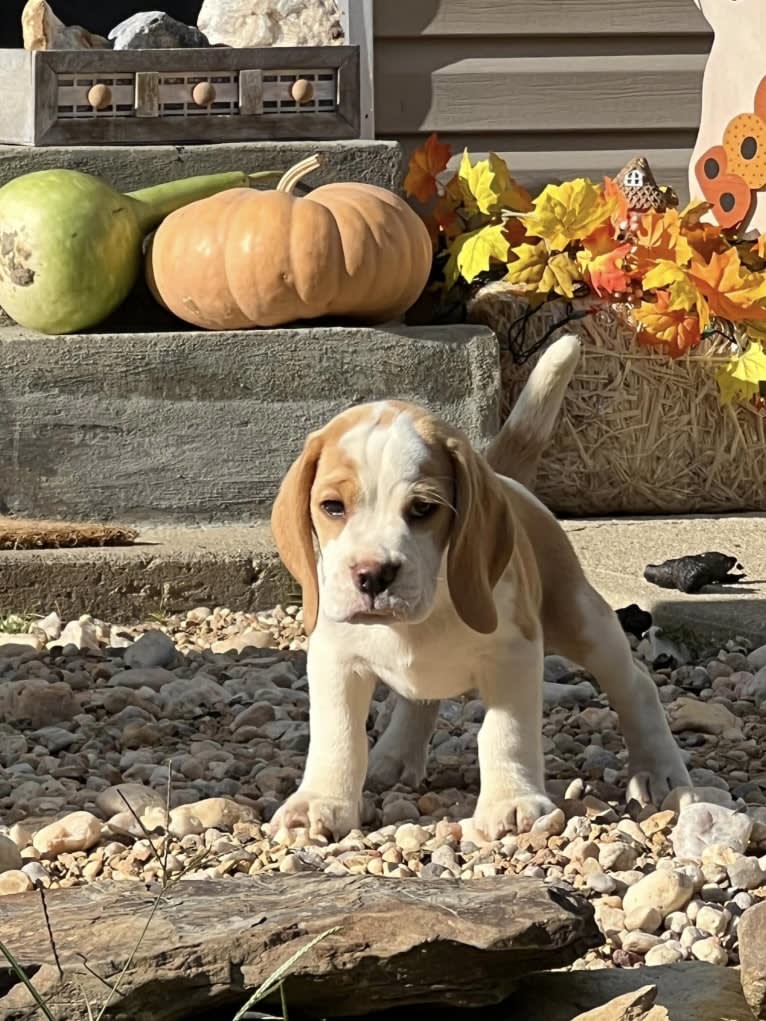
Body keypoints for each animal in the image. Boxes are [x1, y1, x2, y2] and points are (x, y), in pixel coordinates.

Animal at [273, 334, 694, 837]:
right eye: (332, 506)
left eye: (423, 509)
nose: (372, 574)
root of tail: (507, 480)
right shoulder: (336, 659)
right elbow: (338, 735)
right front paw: (322, 802)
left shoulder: (513, 653)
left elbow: (504, 732)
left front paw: (511, 802)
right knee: (418, 702)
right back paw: (394, 757)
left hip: (584, 621)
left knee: (636, 686)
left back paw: (658, 769)